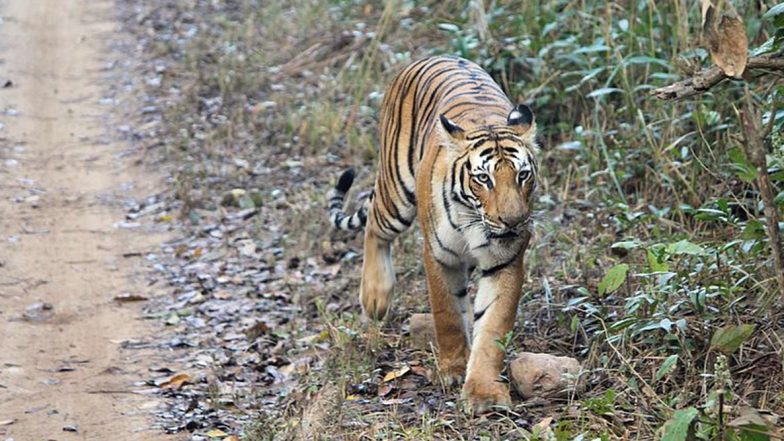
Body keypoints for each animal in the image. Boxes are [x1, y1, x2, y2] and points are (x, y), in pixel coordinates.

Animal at [327, 55, 538, 413]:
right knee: (373, 226)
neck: (476, 223)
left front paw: (483, 392)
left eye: (523, 175)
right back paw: (375, 297)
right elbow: (447, 314)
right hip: (396, 192)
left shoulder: (505, 262)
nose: (513, 221)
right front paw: (453, 369)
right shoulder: (440, 256)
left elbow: (492, 327)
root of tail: (434, 57)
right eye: (484, 179)